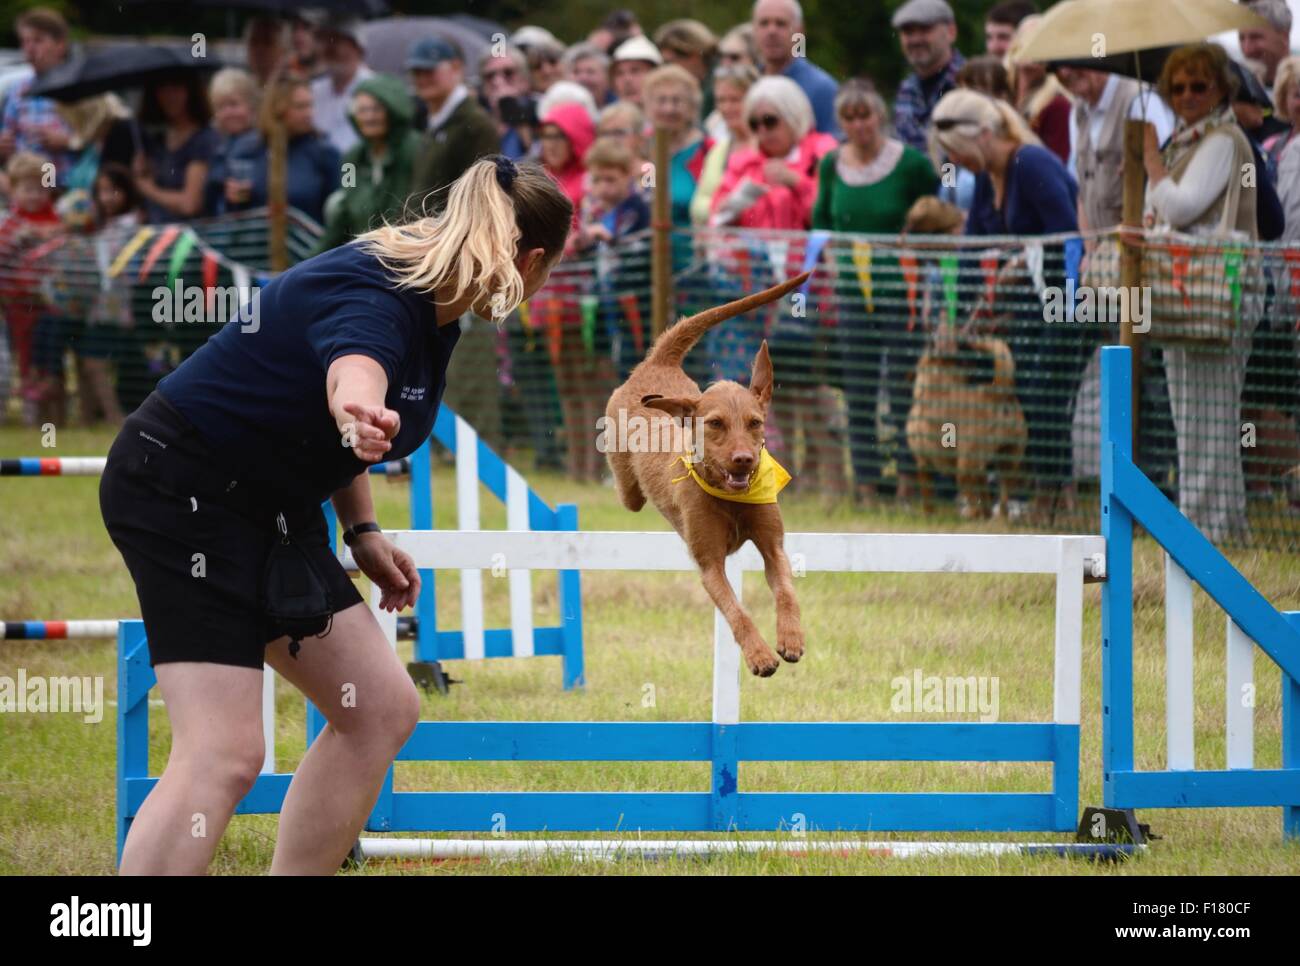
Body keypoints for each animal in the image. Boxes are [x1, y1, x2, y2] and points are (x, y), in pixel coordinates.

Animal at [603, 274, 806, 681]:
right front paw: (760, 655)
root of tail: (659, 363)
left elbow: (786, 591)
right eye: (715, 424)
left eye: (755, 423)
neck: (731, 497)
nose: (743, 459)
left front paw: (791, 637)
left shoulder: (773, 548)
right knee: (628, 493)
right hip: (628, 489)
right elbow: (737, 613)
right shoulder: (710, 564)